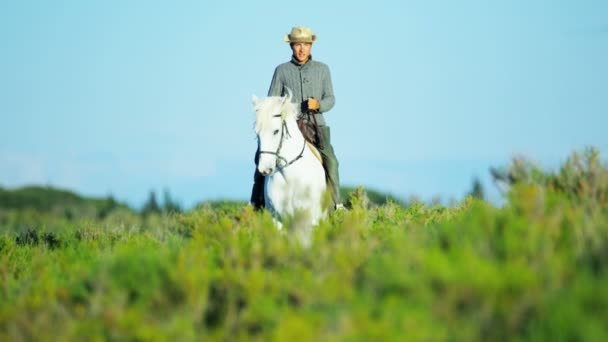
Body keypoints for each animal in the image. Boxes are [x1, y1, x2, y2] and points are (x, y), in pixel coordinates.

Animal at [252, 90, 328, 230]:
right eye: (257, 133)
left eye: (276, 131)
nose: (264, 169)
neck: (290, 176)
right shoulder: (277, 221)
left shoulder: (310, 220)